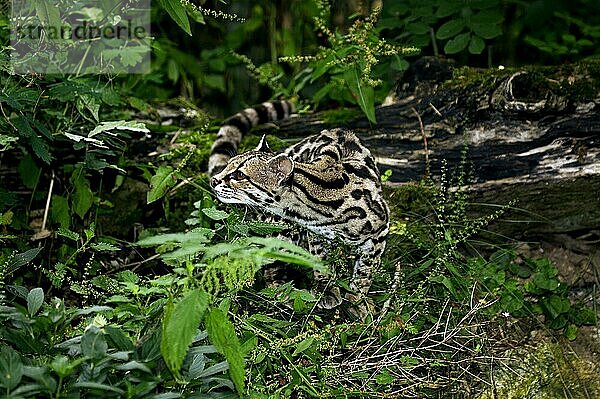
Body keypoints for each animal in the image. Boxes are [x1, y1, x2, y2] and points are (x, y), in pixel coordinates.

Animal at [210, 101, 390, 316]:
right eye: (228, 165)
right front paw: (326, 287)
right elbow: (320, 258)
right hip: (282, 231)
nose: (213, 180)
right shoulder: (316, 234)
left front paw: (356, 299)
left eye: (238, 175)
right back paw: (287, 294)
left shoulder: (381, 229)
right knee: (271, 270)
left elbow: (366, 271)